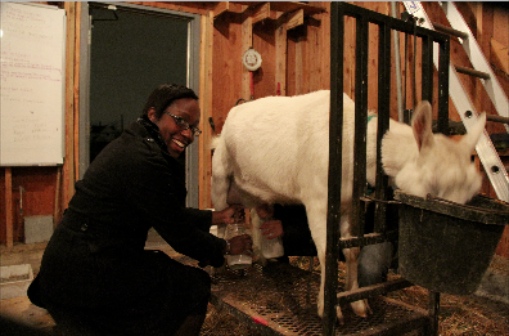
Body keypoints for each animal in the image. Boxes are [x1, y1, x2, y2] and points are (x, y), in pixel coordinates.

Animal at [209, 90, 484, 322]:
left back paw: (260, 257)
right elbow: (326, 253)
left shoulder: (351, 206)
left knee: (257, 217)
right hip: (220, 175)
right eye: (433, 183)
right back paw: (220, 266)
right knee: (221, 220)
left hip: (257, 190)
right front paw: (328, 309)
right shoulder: (317, 201)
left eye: (471, 193)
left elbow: (353, 250)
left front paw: (358, 303)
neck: (353, 143)